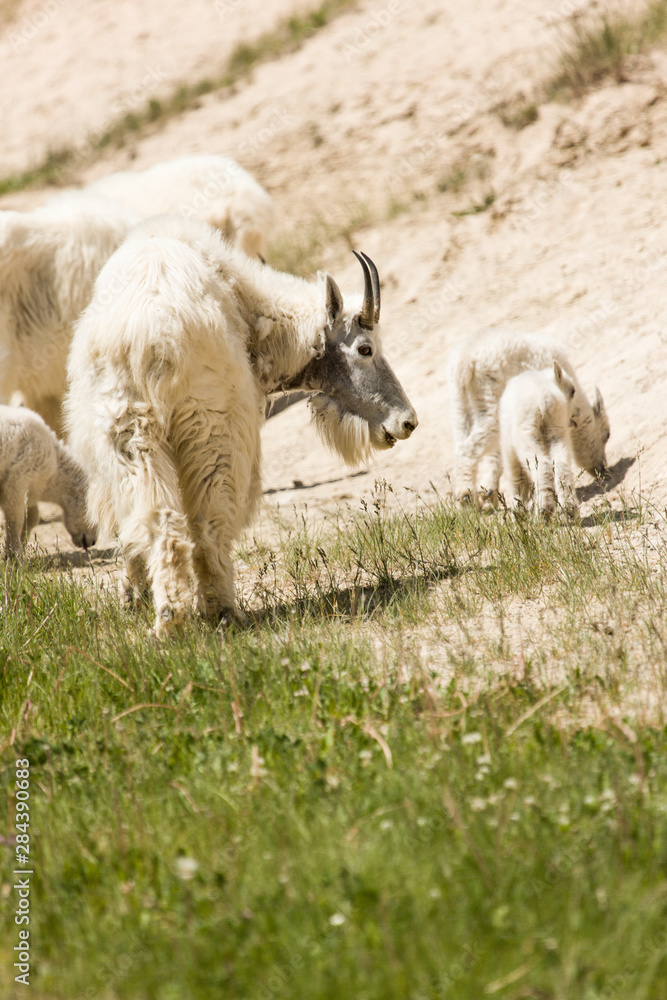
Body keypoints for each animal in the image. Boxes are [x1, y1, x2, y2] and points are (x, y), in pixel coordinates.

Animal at [64, 216, 417, 634]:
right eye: (365, 348)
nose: (408, 421)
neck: (252, 311)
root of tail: (153, 339)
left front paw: (131, 602)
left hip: (134, 434)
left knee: (159, 520)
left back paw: (169, 619)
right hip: (210, 427)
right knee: (209, 521)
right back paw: (220, 610)